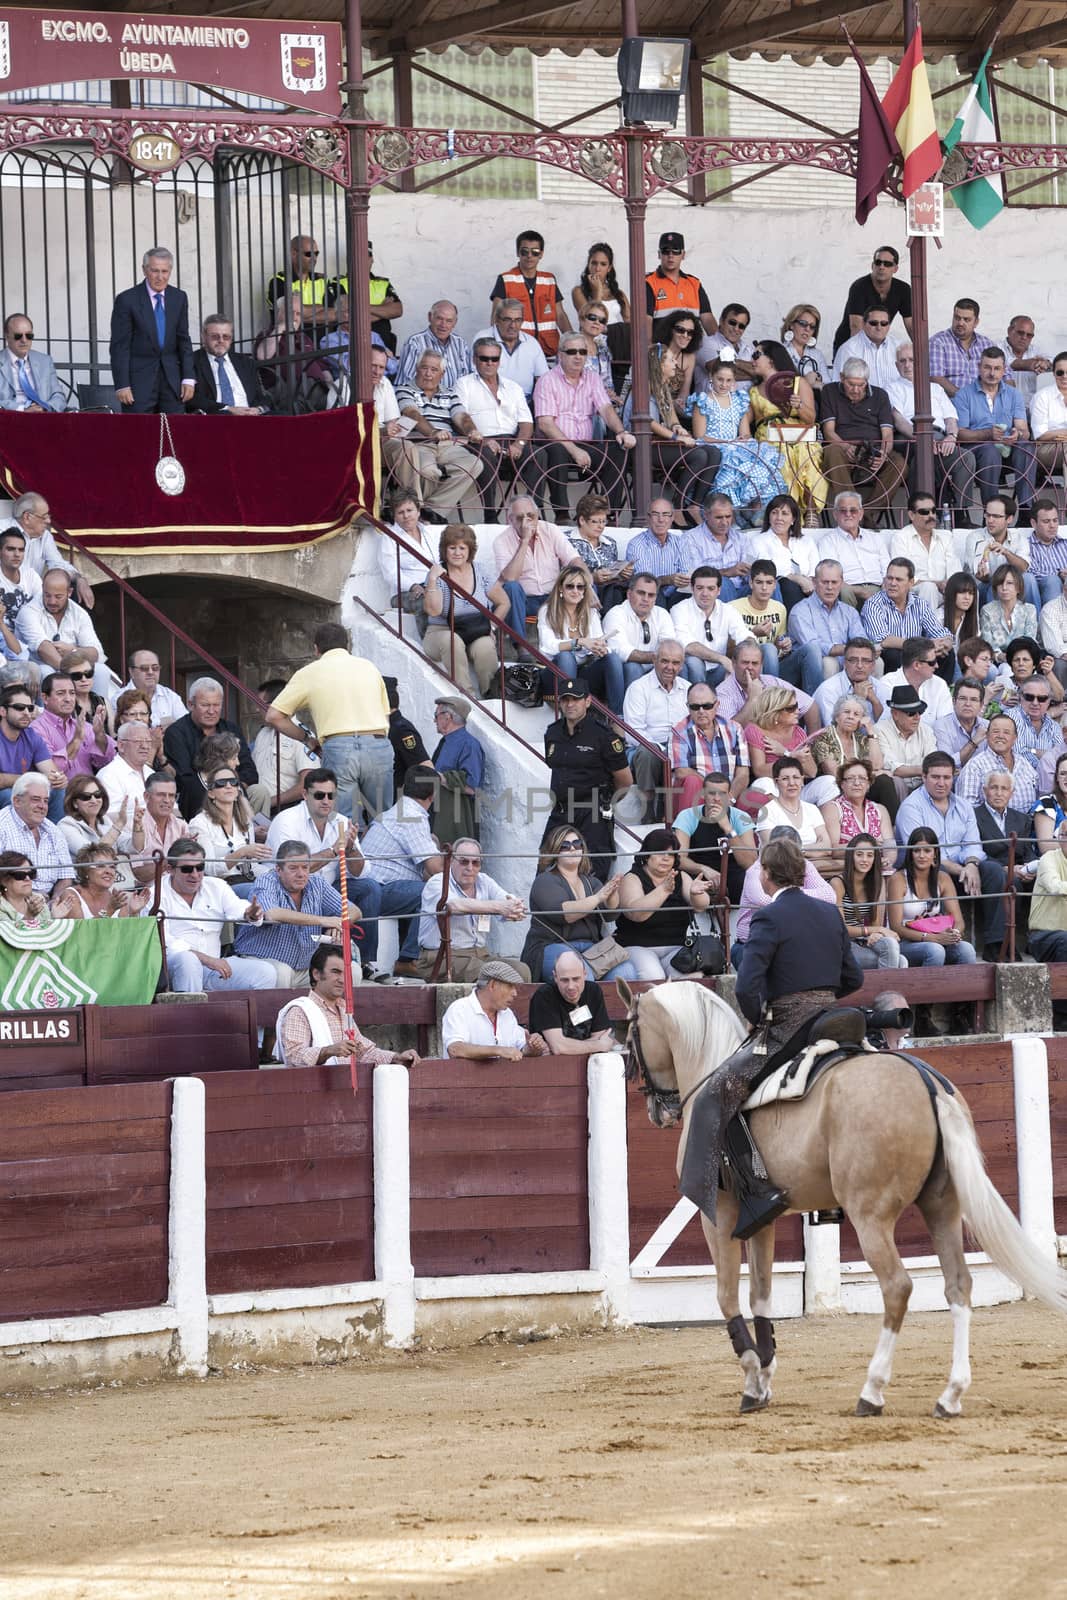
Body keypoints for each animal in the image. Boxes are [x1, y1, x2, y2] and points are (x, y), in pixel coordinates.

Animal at [620, 979, 1067, 1420]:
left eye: (630, 1035)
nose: (657, 1110)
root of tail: (926, 1082)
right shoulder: (762, 1219)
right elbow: (761, 1294)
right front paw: (764, 1379)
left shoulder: (719, 1217)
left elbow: (727, 1295)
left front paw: (750, 1377)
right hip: (943, 1207)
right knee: (958, 1284)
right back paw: (950, 1395)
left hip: (871, 1217)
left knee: (898, 1287)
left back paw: (872, 1391)